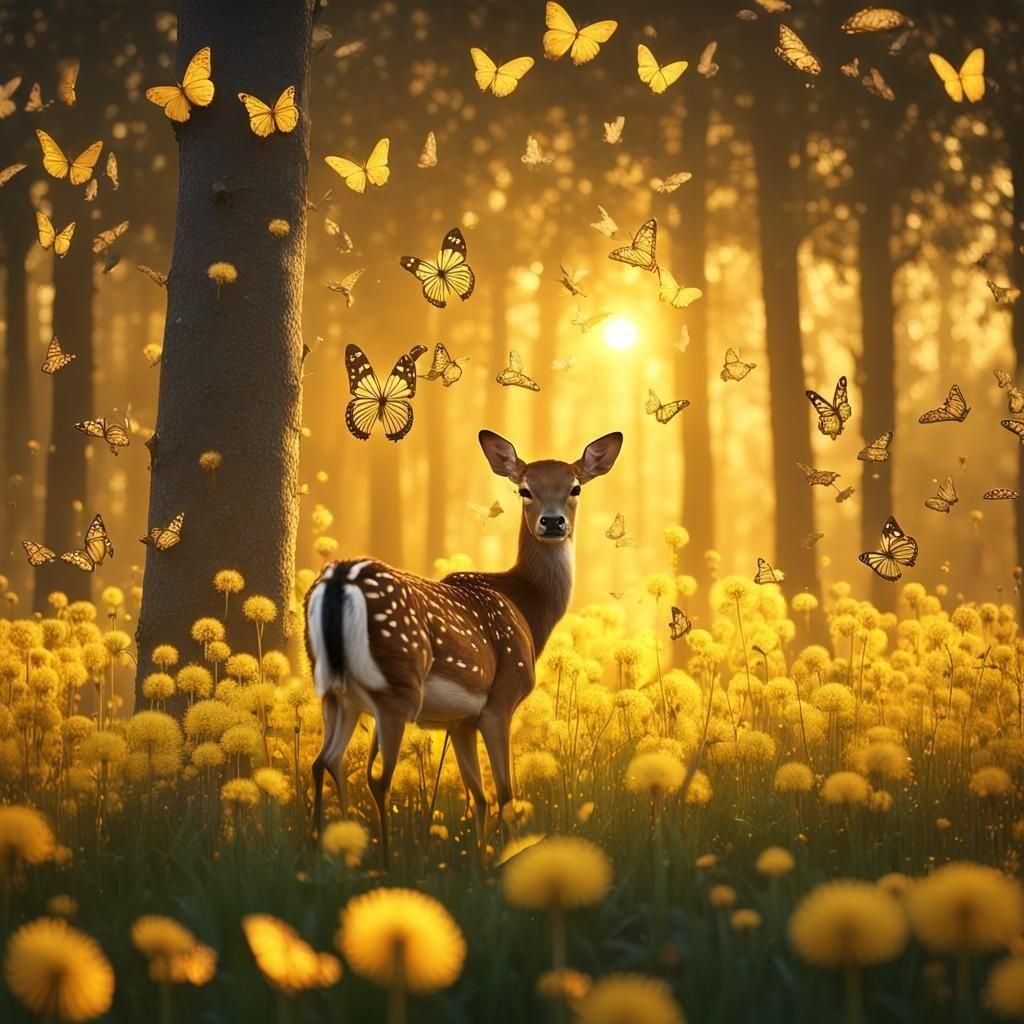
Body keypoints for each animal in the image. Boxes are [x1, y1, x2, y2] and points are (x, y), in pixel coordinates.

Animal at [304, 429, 623, 857]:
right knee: (376, 778)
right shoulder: (501, 699)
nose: (553, 521)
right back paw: (385, 861)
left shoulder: (459, 721)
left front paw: (481, 861)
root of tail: (338, 580)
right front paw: (506, 858)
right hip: (397, 685)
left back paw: (330, 853)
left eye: (575, 487)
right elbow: (505, 794)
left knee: (325, 761)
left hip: (333, 689)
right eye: (524, 489)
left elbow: (480, 796)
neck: (527, 608)